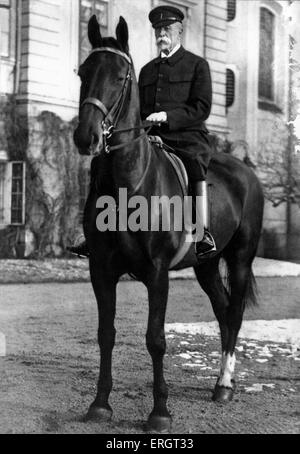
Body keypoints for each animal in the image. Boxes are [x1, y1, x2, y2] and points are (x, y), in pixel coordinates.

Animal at [74, 15, 264, 432]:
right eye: (83, 72)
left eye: (122, 76)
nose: (86, 137)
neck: (129, 182)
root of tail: (247, 171)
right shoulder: (101, 270)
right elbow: (105, 334)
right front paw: (100, 404)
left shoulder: (157, 272)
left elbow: (156, 339)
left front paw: (159, 411)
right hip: (207, 266)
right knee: (223, 310)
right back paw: (221, 380)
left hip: (240, 260)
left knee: (235, 312)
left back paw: (225, 384)